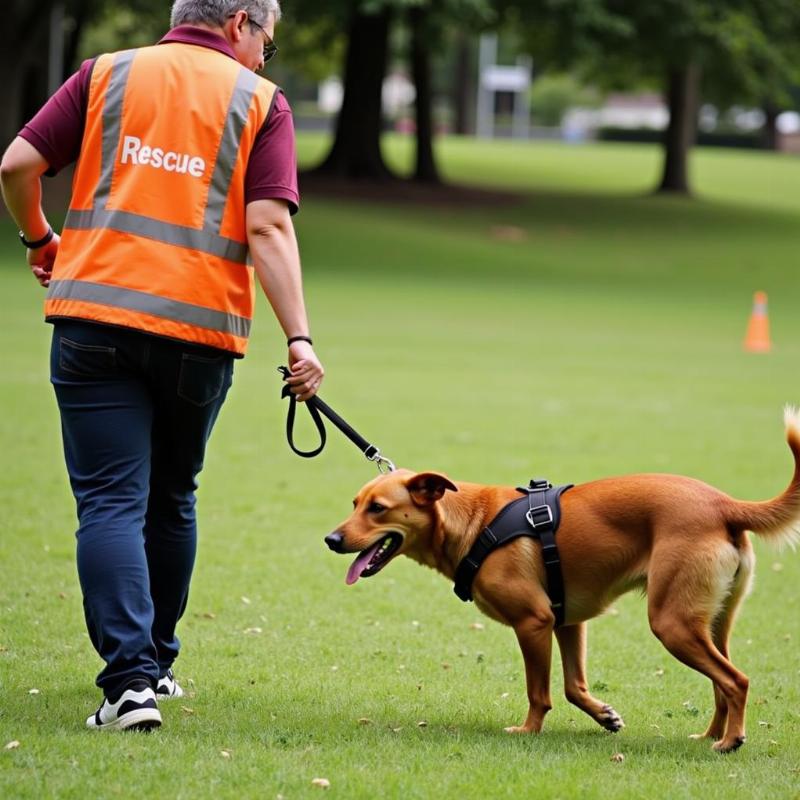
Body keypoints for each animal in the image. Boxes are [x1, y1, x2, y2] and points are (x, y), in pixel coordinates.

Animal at [324, 410, 800, 752]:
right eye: (355, 504)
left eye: (378, 509)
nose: (332, 539)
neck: (476, 523)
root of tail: (724, 504)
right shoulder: (569, 621)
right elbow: (574, 687)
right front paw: (603, 715)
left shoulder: (534, 622)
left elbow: (540, 691)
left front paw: (529, 730)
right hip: (711, 622)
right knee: (721, 682)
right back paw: (710, 736)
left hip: (673, 623)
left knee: (736, 681)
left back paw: (730, 740)